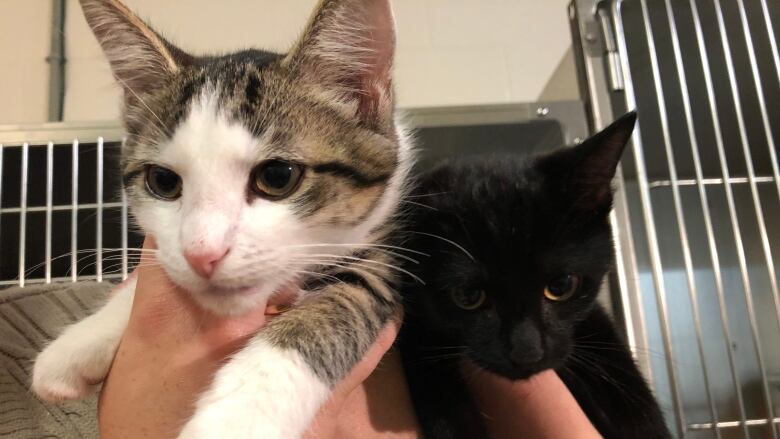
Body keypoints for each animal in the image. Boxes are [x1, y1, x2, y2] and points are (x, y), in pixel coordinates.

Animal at [33, 1, 412, 438]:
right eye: (162, 181)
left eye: (277, 176)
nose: (202, 254)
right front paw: (76, 346)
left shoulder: (381, 261)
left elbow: (334, 310)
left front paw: (239, 415)